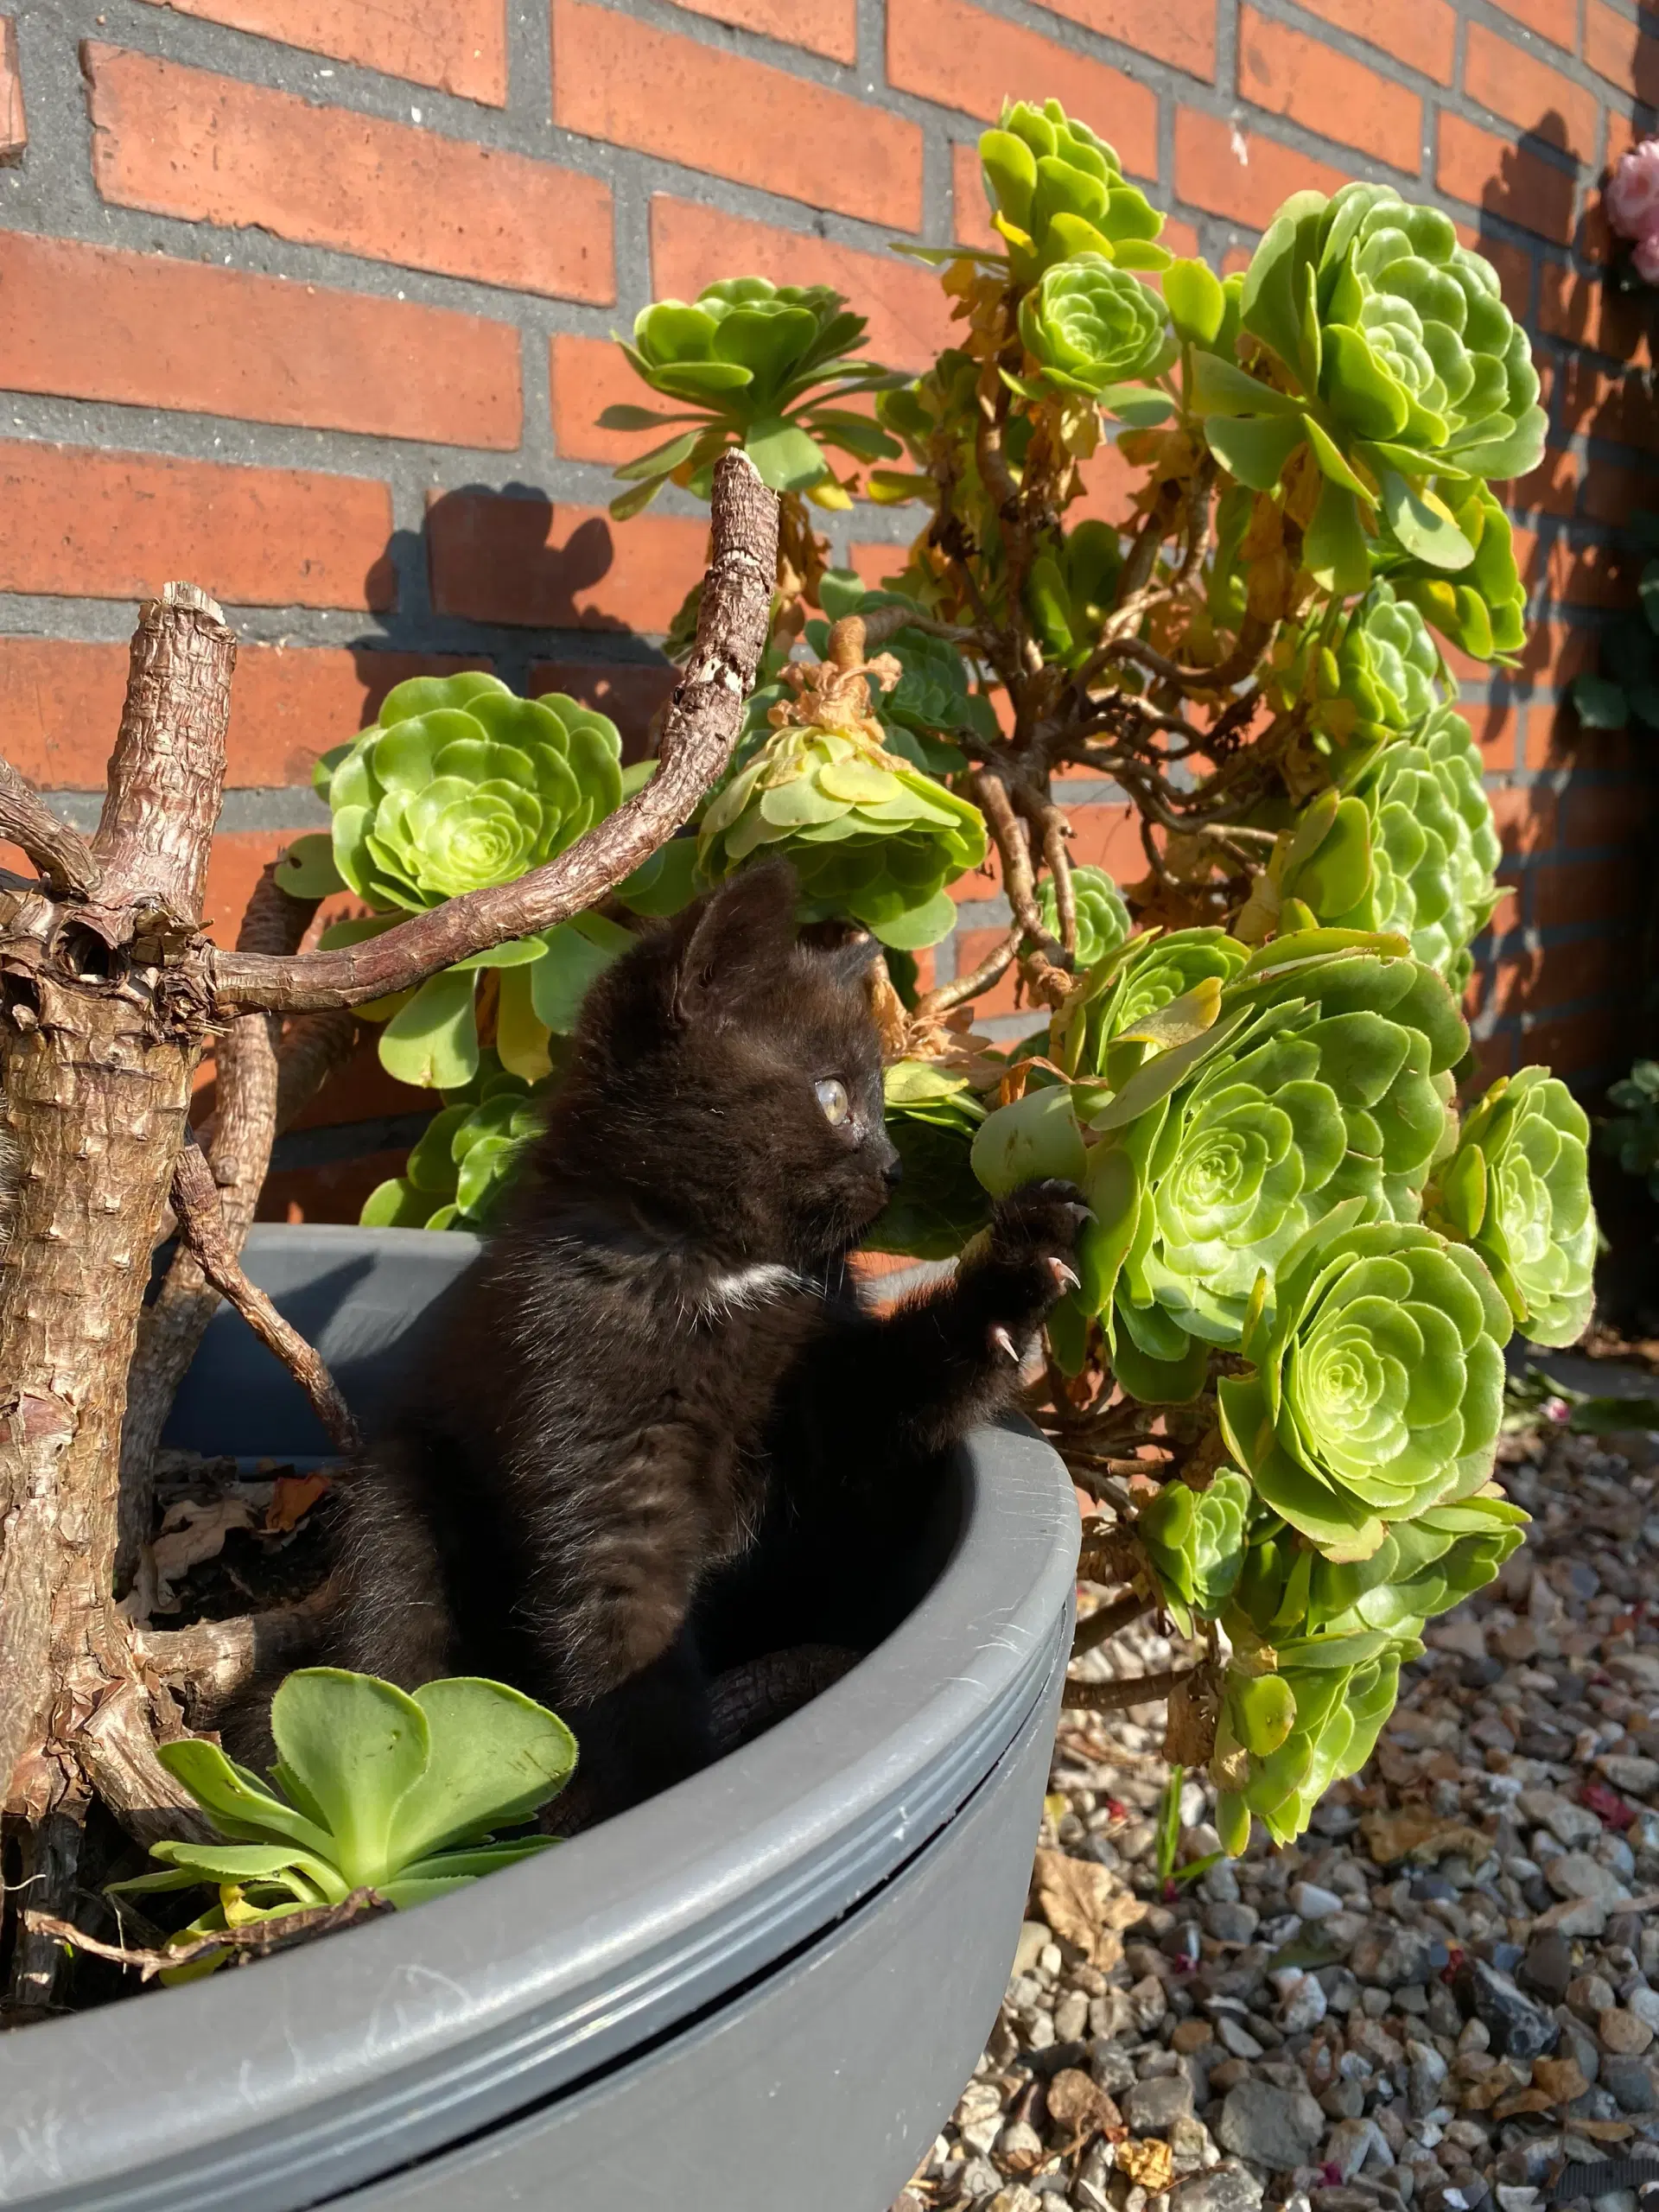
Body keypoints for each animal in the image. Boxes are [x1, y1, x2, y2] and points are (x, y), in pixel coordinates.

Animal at [322, 858, 1084, 1814]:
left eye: (881, 1103)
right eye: (835, 1098)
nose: (893, 1167)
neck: (714, 1274)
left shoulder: (829, 1403)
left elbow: (901, 1393)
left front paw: (1021, 1267)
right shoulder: (592, 1424)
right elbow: (622, 1616)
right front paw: (674, 1789)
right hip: (401, 1490)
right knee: (396, 1618)